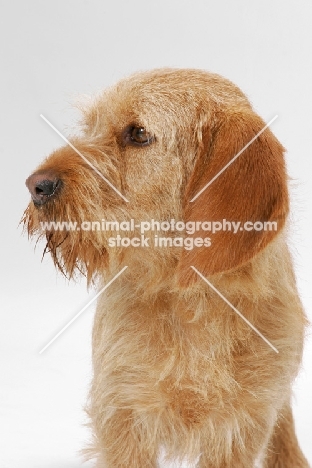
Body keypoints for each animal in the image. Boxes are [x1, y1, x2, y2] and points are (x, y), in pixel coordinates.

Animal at [23, 68, 308, 468]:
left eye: (139, 134)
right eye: (90, 126)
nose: (36, 185)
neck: (189, 297)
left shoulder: (240, 424)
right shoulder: (123, 411)